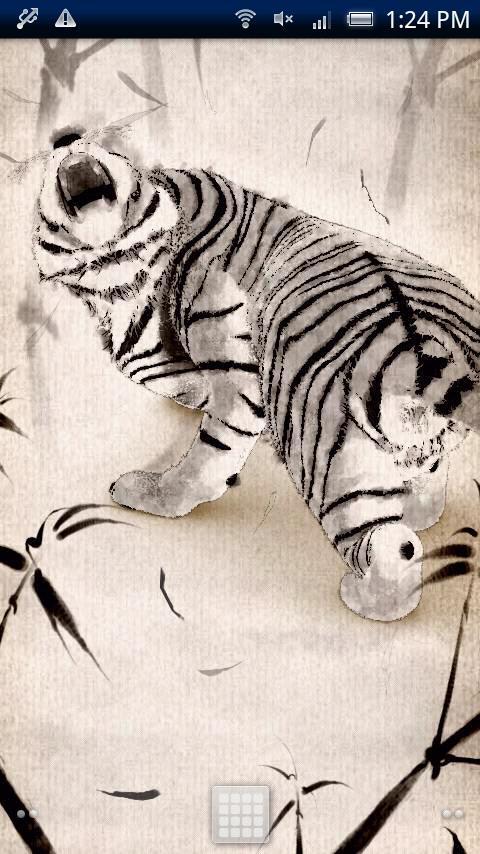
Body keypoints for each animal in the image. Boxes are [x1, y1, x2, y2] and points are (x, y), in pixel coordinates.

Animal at [32, 130, 480, 622]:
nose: (67, 139)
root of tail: (428, 351)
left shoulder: (229, 365)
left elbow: (209, 451)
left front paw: (156, 493)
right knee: (426, 479)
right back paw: (416, 506)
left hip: (325, 465)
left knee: (393, 546)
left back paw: (364, 596)